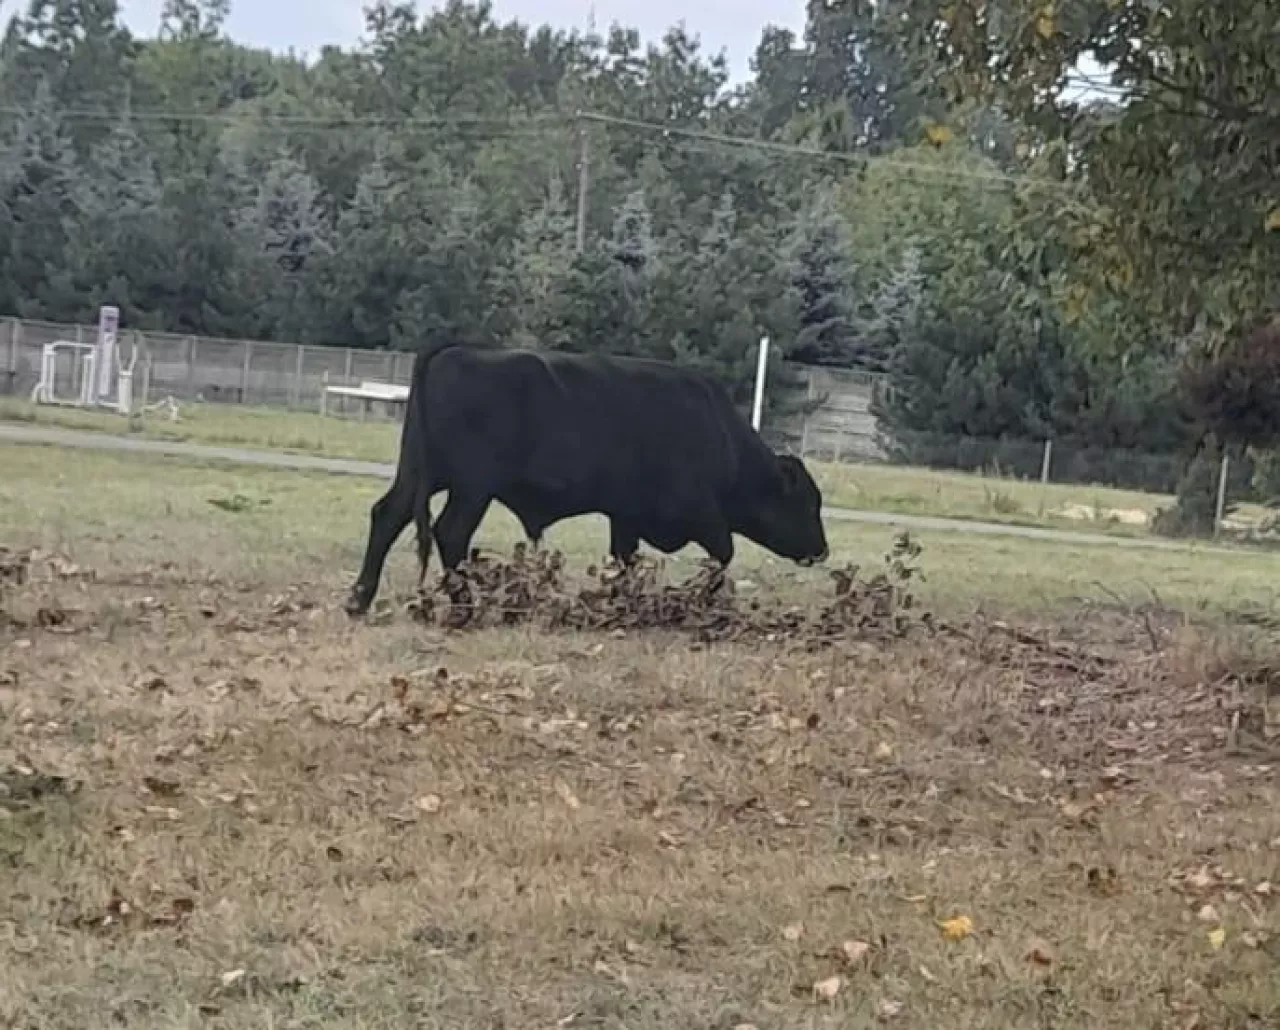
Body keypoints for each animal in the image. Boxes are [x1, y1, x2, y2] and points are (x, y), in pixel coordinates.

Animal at [348, 340, 829, 614]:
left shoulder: (626, 516)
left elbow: (624, 560)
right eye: (807, 503)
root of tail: (451, 352)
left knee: (387, 516)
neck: (719, 433)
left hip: (419, 474)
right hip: (472, 487)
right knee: (450, 533)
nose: (822, 549)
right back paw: (465, 606)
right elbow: (722, 555)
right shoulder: (700, 514)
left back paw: (359, 599)